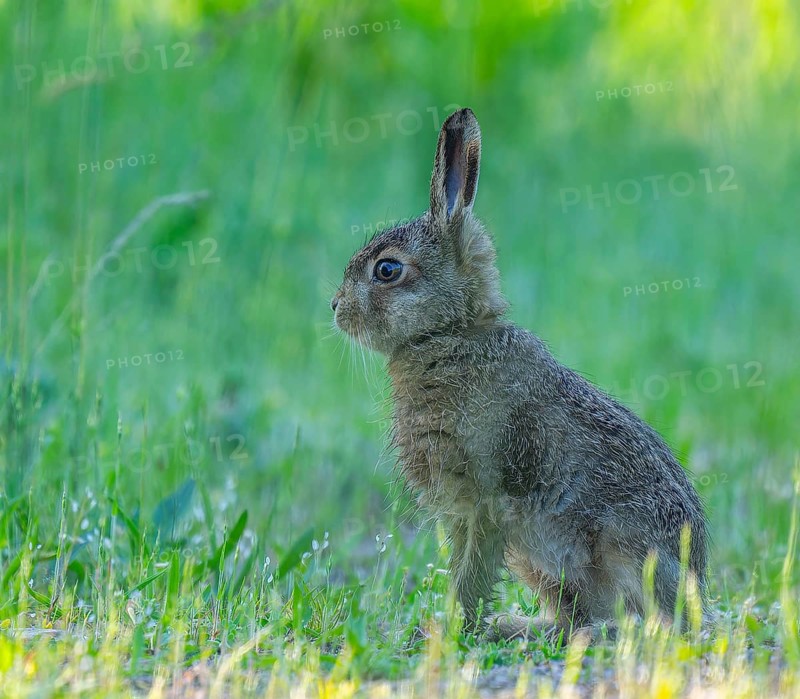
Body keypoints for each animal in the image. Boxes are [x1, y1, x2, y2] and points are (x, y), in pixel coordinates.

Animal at [331, 107, 708, 641]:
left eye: (387, 270)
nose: (336, 308)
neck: (451, 334)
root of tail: (695, 588)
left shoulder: (488, 494)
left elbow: (472, 569)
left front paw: (452, 628)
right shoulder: (459, 507)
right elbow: (463, 562)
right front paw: (451, 626)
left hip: (619, 549)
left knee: (638, 620)